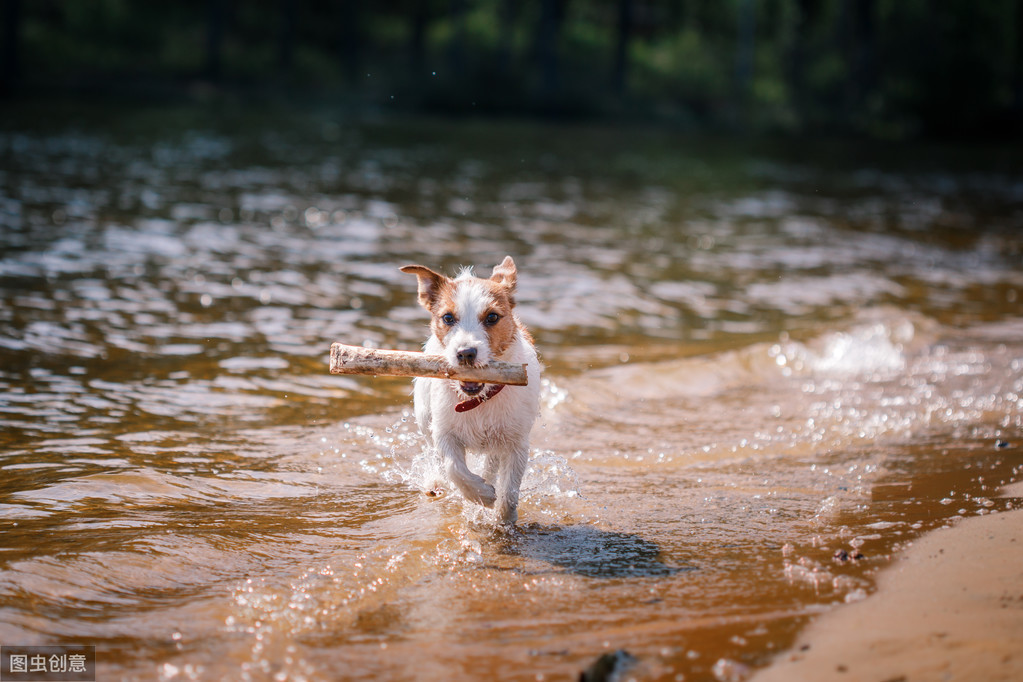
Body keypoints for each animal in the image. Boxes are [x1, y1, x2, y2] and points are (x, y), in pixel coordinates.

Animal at [398, 255, 544, 527]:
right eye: (447, 318)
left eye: (492, 317)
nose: (466, 353)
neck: (478, 400)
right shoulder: (444, 432)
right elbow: (454, 468)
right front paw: (481, 495)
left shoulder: (517, 443)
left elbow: (510, 492)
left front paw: (503, 520)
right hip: (424, 417)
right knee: (436, 455)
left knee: (491, 463)